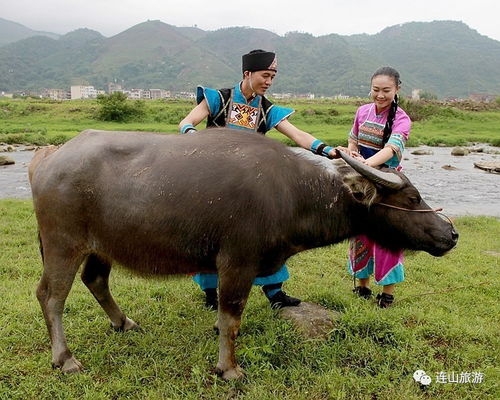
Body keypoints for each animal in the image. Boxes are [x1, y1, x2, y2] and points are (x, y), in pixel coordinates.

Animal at [27, 130, 458, 380]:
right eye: (412, 198)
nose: (451, 233)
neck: (293, 194)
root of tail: (48, 158)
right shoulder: (237, 263)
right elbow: (230, 318)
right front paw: (229, 369)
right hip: (63, 244)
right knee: (51, 296)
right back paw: (65, 358)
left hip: (102, 245)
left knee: (96, 279)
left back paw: (124, 322)